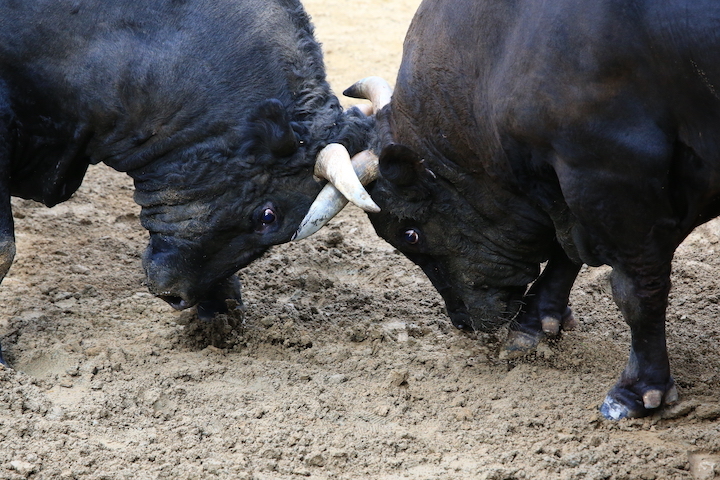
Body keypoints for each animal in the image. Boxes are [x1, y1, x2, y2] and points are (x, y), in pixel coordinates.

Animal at [296, 0, 720, 418]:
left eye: (410, 234)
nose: (463, 321)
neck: (502, 51)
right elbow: (567, 250)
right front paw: (532, 323)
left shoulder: (611, 176)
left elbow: (635, 290)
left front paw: (638, 390)